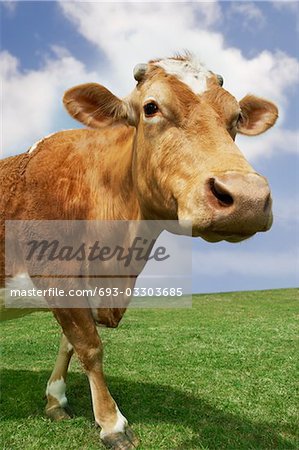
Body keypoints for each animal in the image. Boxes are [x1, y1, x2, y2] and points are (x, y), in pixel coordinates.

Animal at [0, 54, 278, 448]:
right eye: (151, 107)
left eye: (237, 116)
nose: (248, 198)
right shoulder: (56, 274)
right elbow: (89, 346)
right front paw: (112, 424)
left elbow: (69, 344)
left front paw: (56, 400)